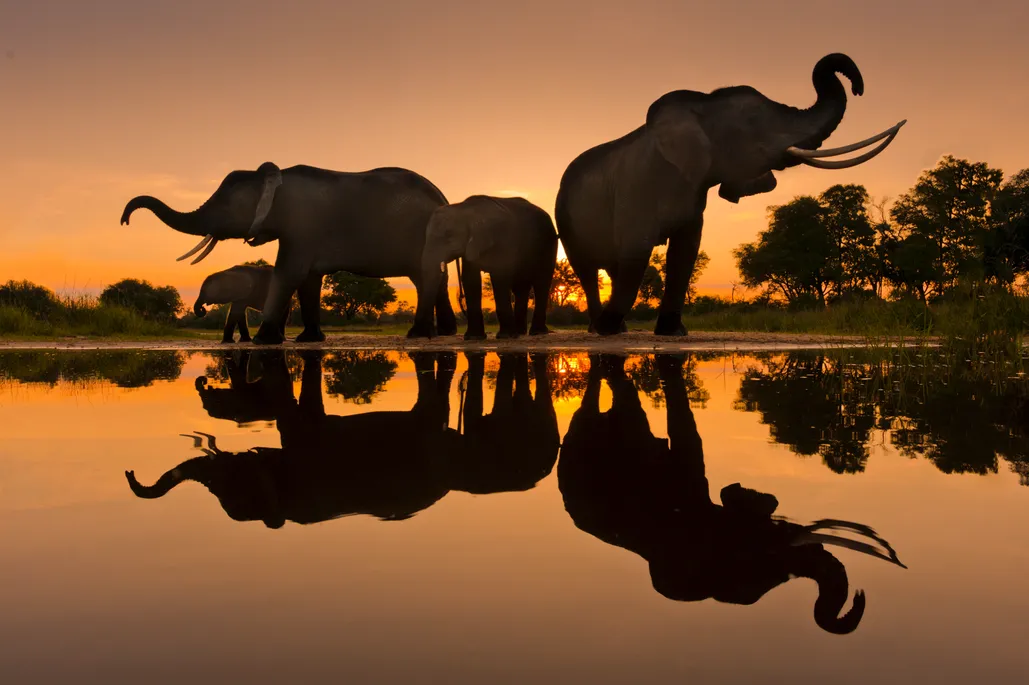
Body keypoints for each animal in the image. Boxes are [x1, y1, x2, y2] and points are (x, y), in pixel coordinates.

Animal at [119, 162, 454, 343]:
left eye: (227, 207)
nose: (124, 221)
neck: (271, 179)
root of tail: (441, 195)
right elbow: (308, 279)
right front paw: (308, 340)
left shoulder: (302, 224)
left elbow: (290, 272)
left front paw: (263, 342)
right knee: (430, 277)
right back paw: (442, 332)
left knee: (426, 276)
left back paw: (418, 334)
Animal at [405, 194, 559, 339]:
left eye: (448, 236)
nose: (427, 335)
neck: (465, 210)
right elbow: (470, 279)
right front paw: (474, 337)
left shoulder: (502, 240)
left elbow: (499, 277)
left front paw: (505, 336)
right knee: (520, 288)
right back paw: (520, 332)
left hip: (549, 244)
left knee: (541, 283)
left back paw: (536, 332)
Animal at [555, 51, 909, 335]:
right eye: (754, 122)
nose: (858, 88)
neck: (701, 106)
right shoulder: (638, 186)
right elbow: (638, 250)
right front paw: (610, 330)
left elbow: (684, 252)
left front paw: (673, 333)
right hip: (566, 218)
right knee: (587, 268)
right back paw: (601, 328)